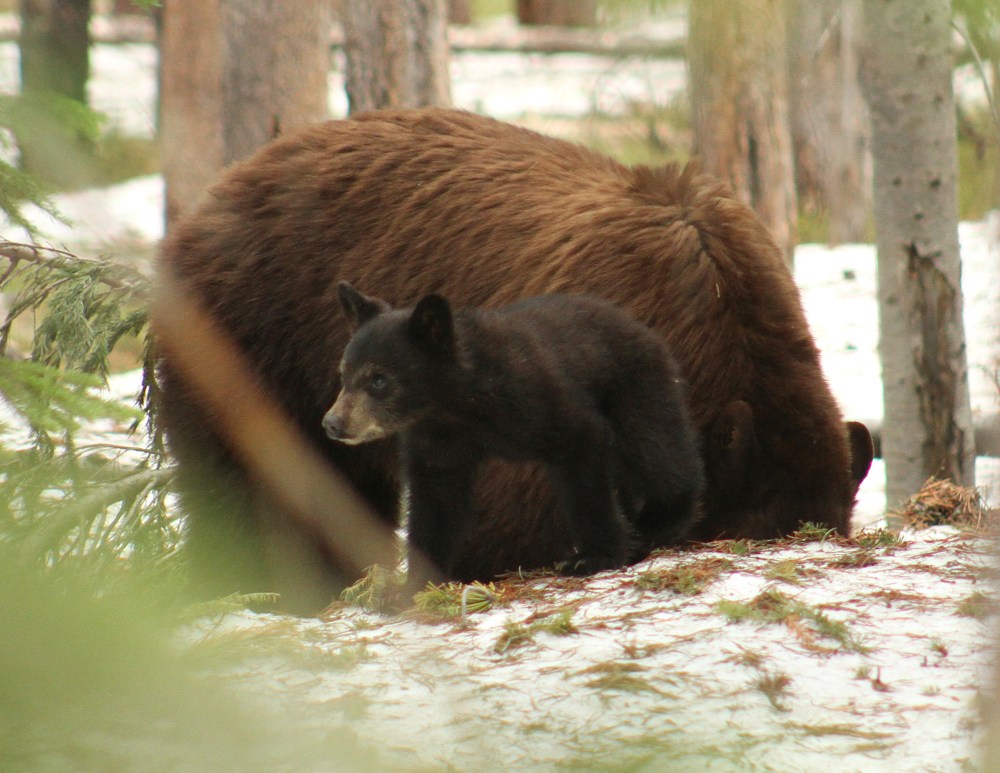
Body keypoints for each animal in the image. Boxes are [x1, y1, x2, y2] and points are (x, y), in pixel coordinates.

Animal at [323, 283, 705, 585]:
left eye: (379, 379)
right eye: (344, 374)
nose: (332, 423)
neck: (457, 406)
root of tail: (642, 327)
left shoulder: (535, 398)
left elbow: (583, 447)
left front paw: (593, 557)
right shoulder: (436, 443)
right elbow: (435, 504)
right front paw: (412, 585)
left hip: (633, 387)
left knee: (654, 451)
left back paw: (659, 520)